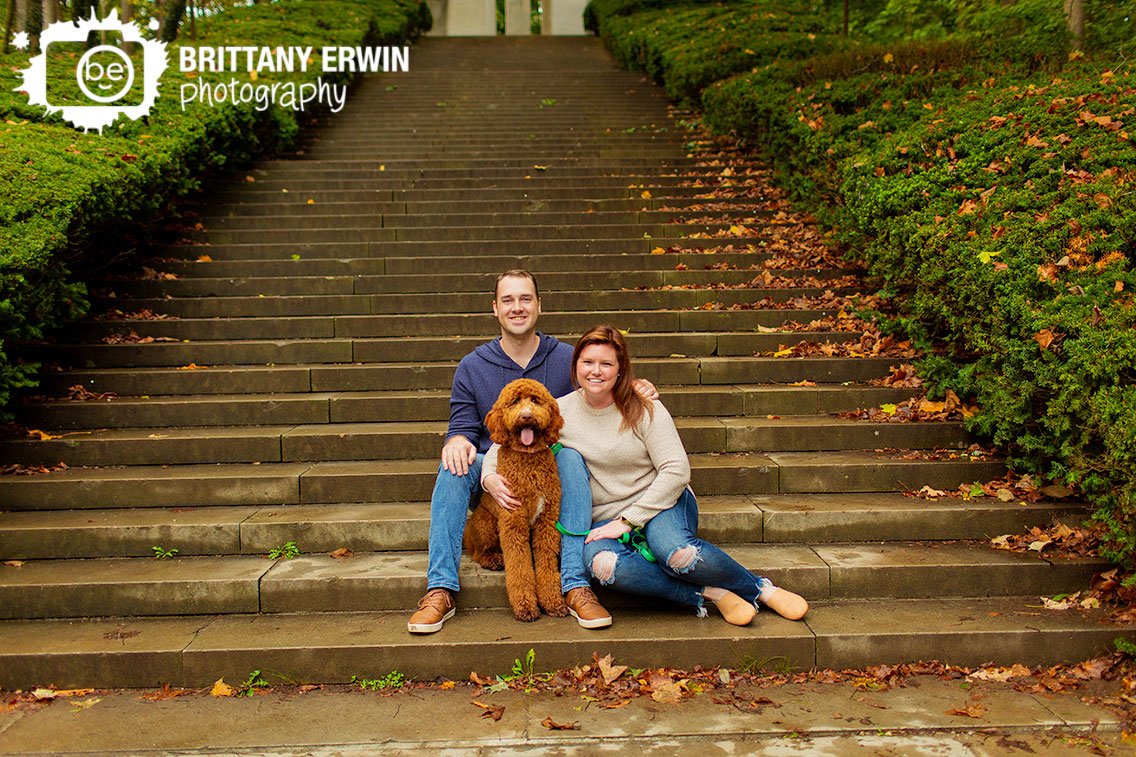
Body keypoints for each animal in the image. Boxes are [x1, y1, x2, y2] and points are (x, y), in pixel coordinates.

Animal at [461, 377, 568, 618]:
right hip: (485, 525)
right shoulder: (513, 522)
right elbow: (519, 566)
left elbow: (546, 563)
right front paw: (525, 605)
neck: (528, 460)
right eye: (514, 402)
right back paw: (493, 559)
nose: (526, 416)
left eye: (535, 400)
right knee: (478, 552)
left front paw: (552, 601)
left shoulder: (547, 522)